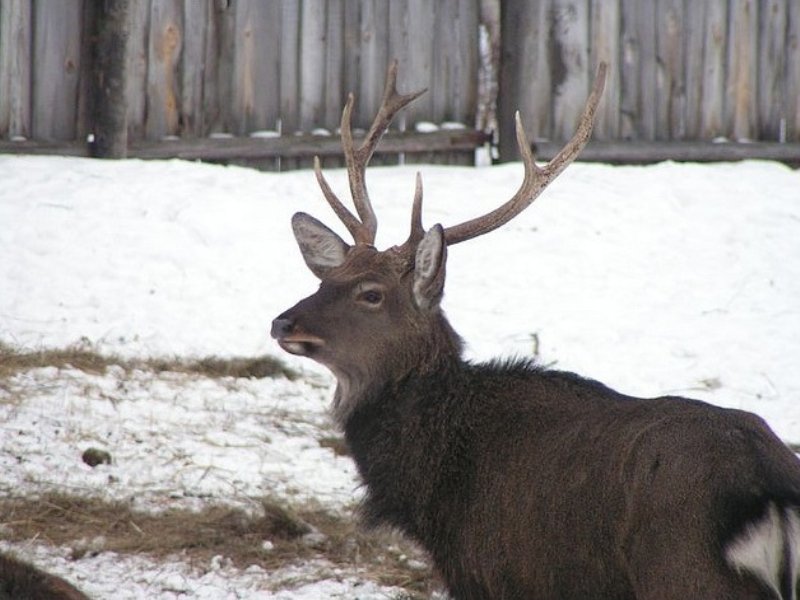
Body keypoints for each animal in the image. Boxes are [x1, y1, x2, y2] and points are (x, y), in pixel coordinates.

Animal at [270, 62, 800, 600]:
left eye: (372, 294)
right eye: (326, 280)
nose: (282, 321)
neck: (435, 486)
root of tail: (771, 492)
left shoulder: (491, 570)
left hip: (684, 571)